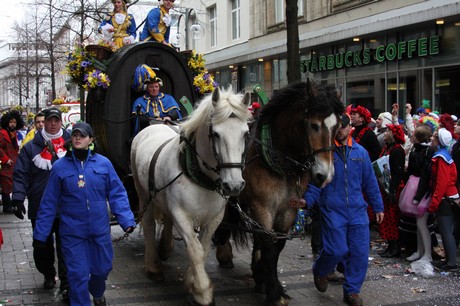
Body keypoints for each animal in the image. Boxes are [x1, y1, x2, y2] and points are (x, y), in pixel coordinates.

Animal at [129, 87, 252, 304]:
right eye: (216, 134)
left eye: (245, 133)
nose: (234, 185)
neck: (200, 175)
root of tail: (153, 126)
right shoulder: (182, 216)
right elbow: (194, 250)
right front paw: (202, 292)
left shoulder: (214, 218)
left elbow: (203, 248)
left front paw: (191, 281)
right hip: (144, 193)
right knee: (149, 224)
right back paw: (153, 266)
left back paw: (165, 248)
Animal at [214, 80, 344, 306]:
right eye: (314, 125)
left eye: (336, 127)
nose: (325, 176)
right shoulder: (261, 207)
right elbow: (268, 246)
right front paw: (274, 293)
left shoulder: (288, 209)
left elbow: (277, 246)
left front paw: (265, 279)